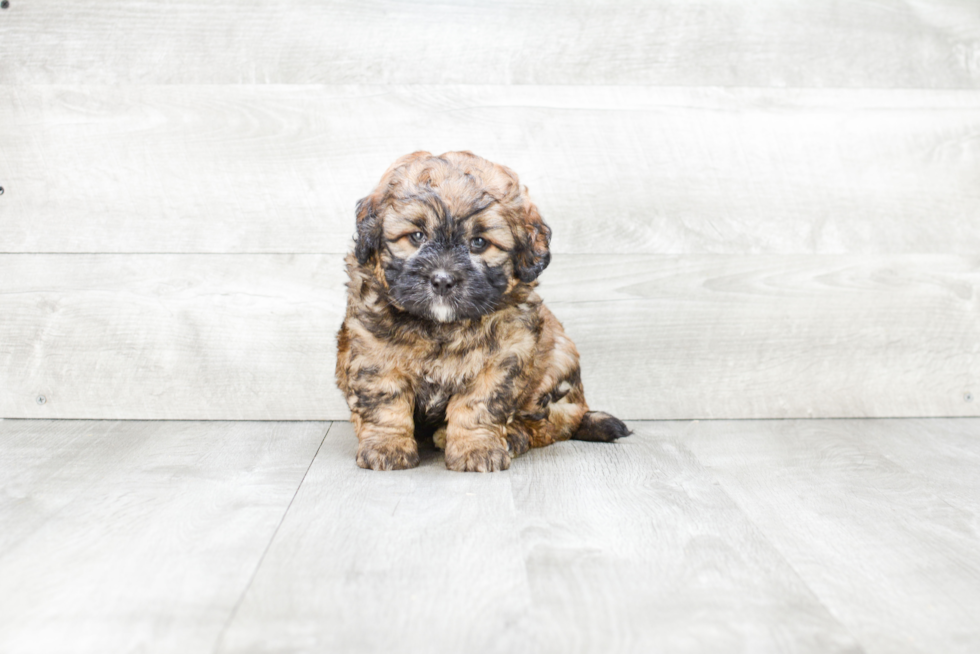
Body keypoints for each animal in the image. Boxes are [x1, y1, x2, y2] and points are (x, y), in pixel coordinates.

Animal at [336, 151, 628, 474]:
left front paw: (476, 448)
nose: (442, 280)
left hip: (558, 362)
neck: (441, 329)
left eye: (478, 242)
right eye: (417, 236)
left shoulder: (502, 358)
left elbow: (478, 406)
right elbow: (385, 403)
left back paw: (511, 436)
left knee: (549, 424)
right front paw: (387, 446)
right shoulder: (375, 354)